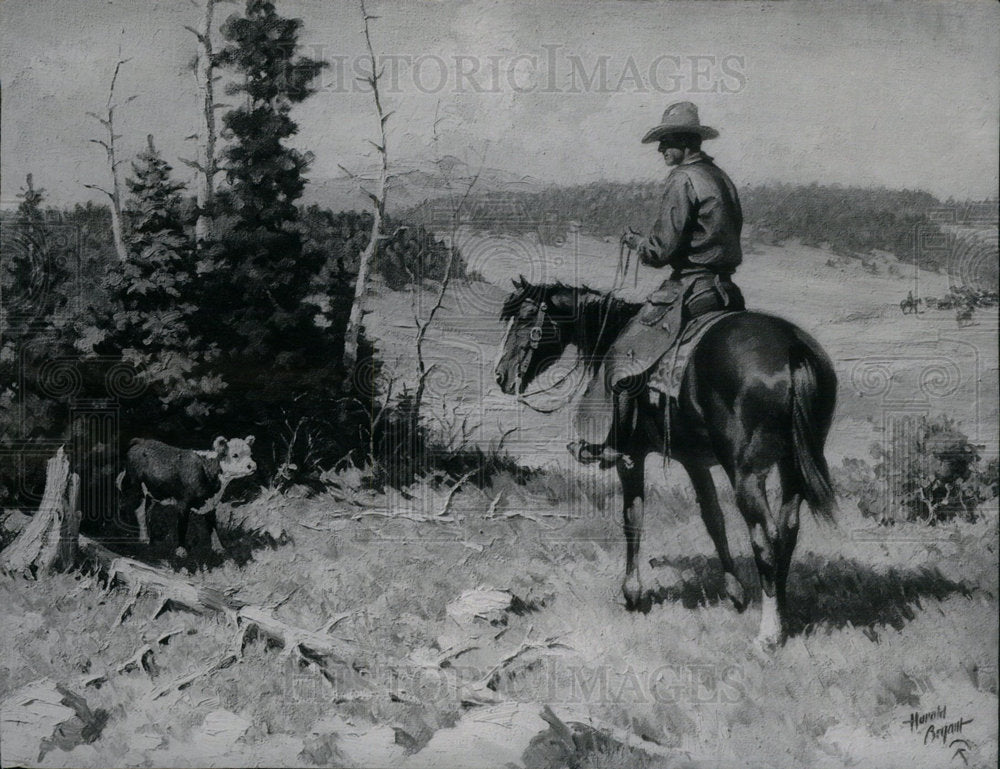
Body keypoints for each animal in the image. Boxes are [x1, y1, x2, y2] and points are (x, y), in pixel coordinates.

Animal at [117, 436, 258, 556]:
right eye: (235, 455)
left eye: (250, 454)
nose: (252, 465)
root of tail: (141, 441)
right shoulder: (183, 503)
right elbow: (182, 526)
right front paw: (181, 551)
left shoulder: (210, 504)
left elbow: (212, 526)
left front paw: (218, 548)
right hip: (136, 488)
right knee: (138, 511)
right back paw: (144, 538)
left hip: (153, 493)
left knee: (147, 512)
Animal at [496, 280, 840, 644]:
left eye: (526, 317)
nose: (501, 376)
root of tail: (792, 347)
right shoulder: (694, 461)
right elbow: (713, 519)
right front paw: (734, 592)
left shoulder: (631, 457)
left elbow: (632, 517)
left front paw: (632, 593)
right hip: (792, 469)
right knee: (788, 531)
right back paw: (784, 617)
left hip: (746, 474)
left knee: (766, 537)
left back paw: (769, 633)